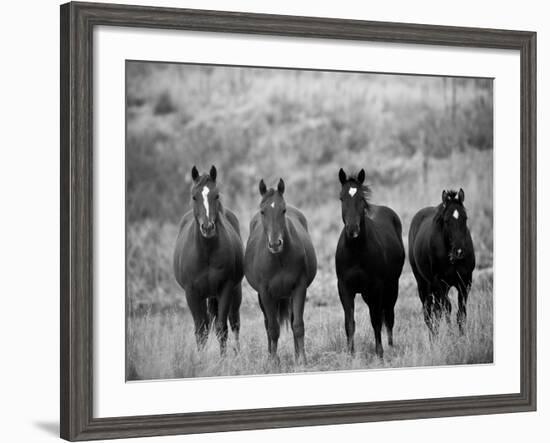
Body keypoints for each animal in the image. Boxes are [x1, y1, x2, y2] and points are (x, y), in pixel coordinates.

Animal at [174, 165, 245, 356]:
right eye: (194, 196)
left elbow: (222, 328)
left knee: (234, 322)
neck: (206, 253)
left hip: (235, 291)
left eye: (217, 195)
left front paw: (223, 360)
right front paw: (201, 359)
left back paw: (238, 353)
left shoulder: (225, 288)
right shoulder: (191, 293)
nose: (207, 227)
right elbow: (201, 330)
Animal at [334, 168, 408, 360]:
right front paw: (350, 354)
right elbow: (349, 323)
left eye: (361, 198)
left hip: (391, 286)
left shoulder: (376, 287)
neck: (356, 253)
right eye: (341, 198)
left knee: (388, 316)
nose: (353, 230)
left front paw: (379, 353)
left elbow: (376, 321)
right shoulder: (345, 289)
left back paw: (390, 347)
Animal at [410, 188, 478, 336]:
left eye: (465, 218)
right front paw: (451, 335)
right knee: (429, 314)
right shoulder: (439, 283)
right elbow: (447, 309)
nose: (459, 251)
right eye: (446, 221)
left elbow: (461, 313)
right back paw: (433, 338)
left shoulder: (465, 281)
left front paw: (462, 337)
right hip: (423, 284)